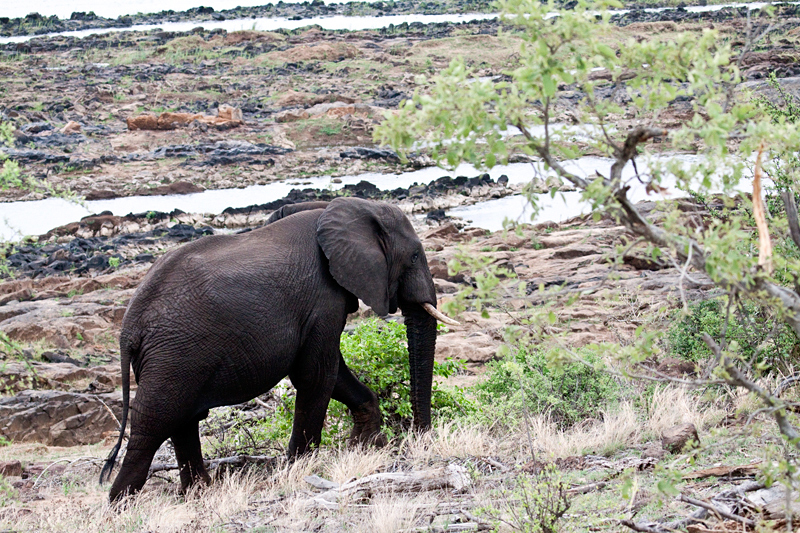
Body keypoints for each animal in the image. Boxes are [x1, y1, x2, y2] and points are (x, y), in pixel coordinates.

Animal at [99, 197, 456, 500]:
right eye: (414, 256)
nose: (420, 439)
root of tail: (129, 327)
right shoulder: (322, 298)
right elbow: (317, 375)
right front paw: (301, 468)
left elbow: (333, 372)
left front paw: (365, 447)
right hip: (174, 353)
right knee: (153, 424)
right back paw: (120, 505)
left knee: (183, 420)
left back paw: (198, 494)